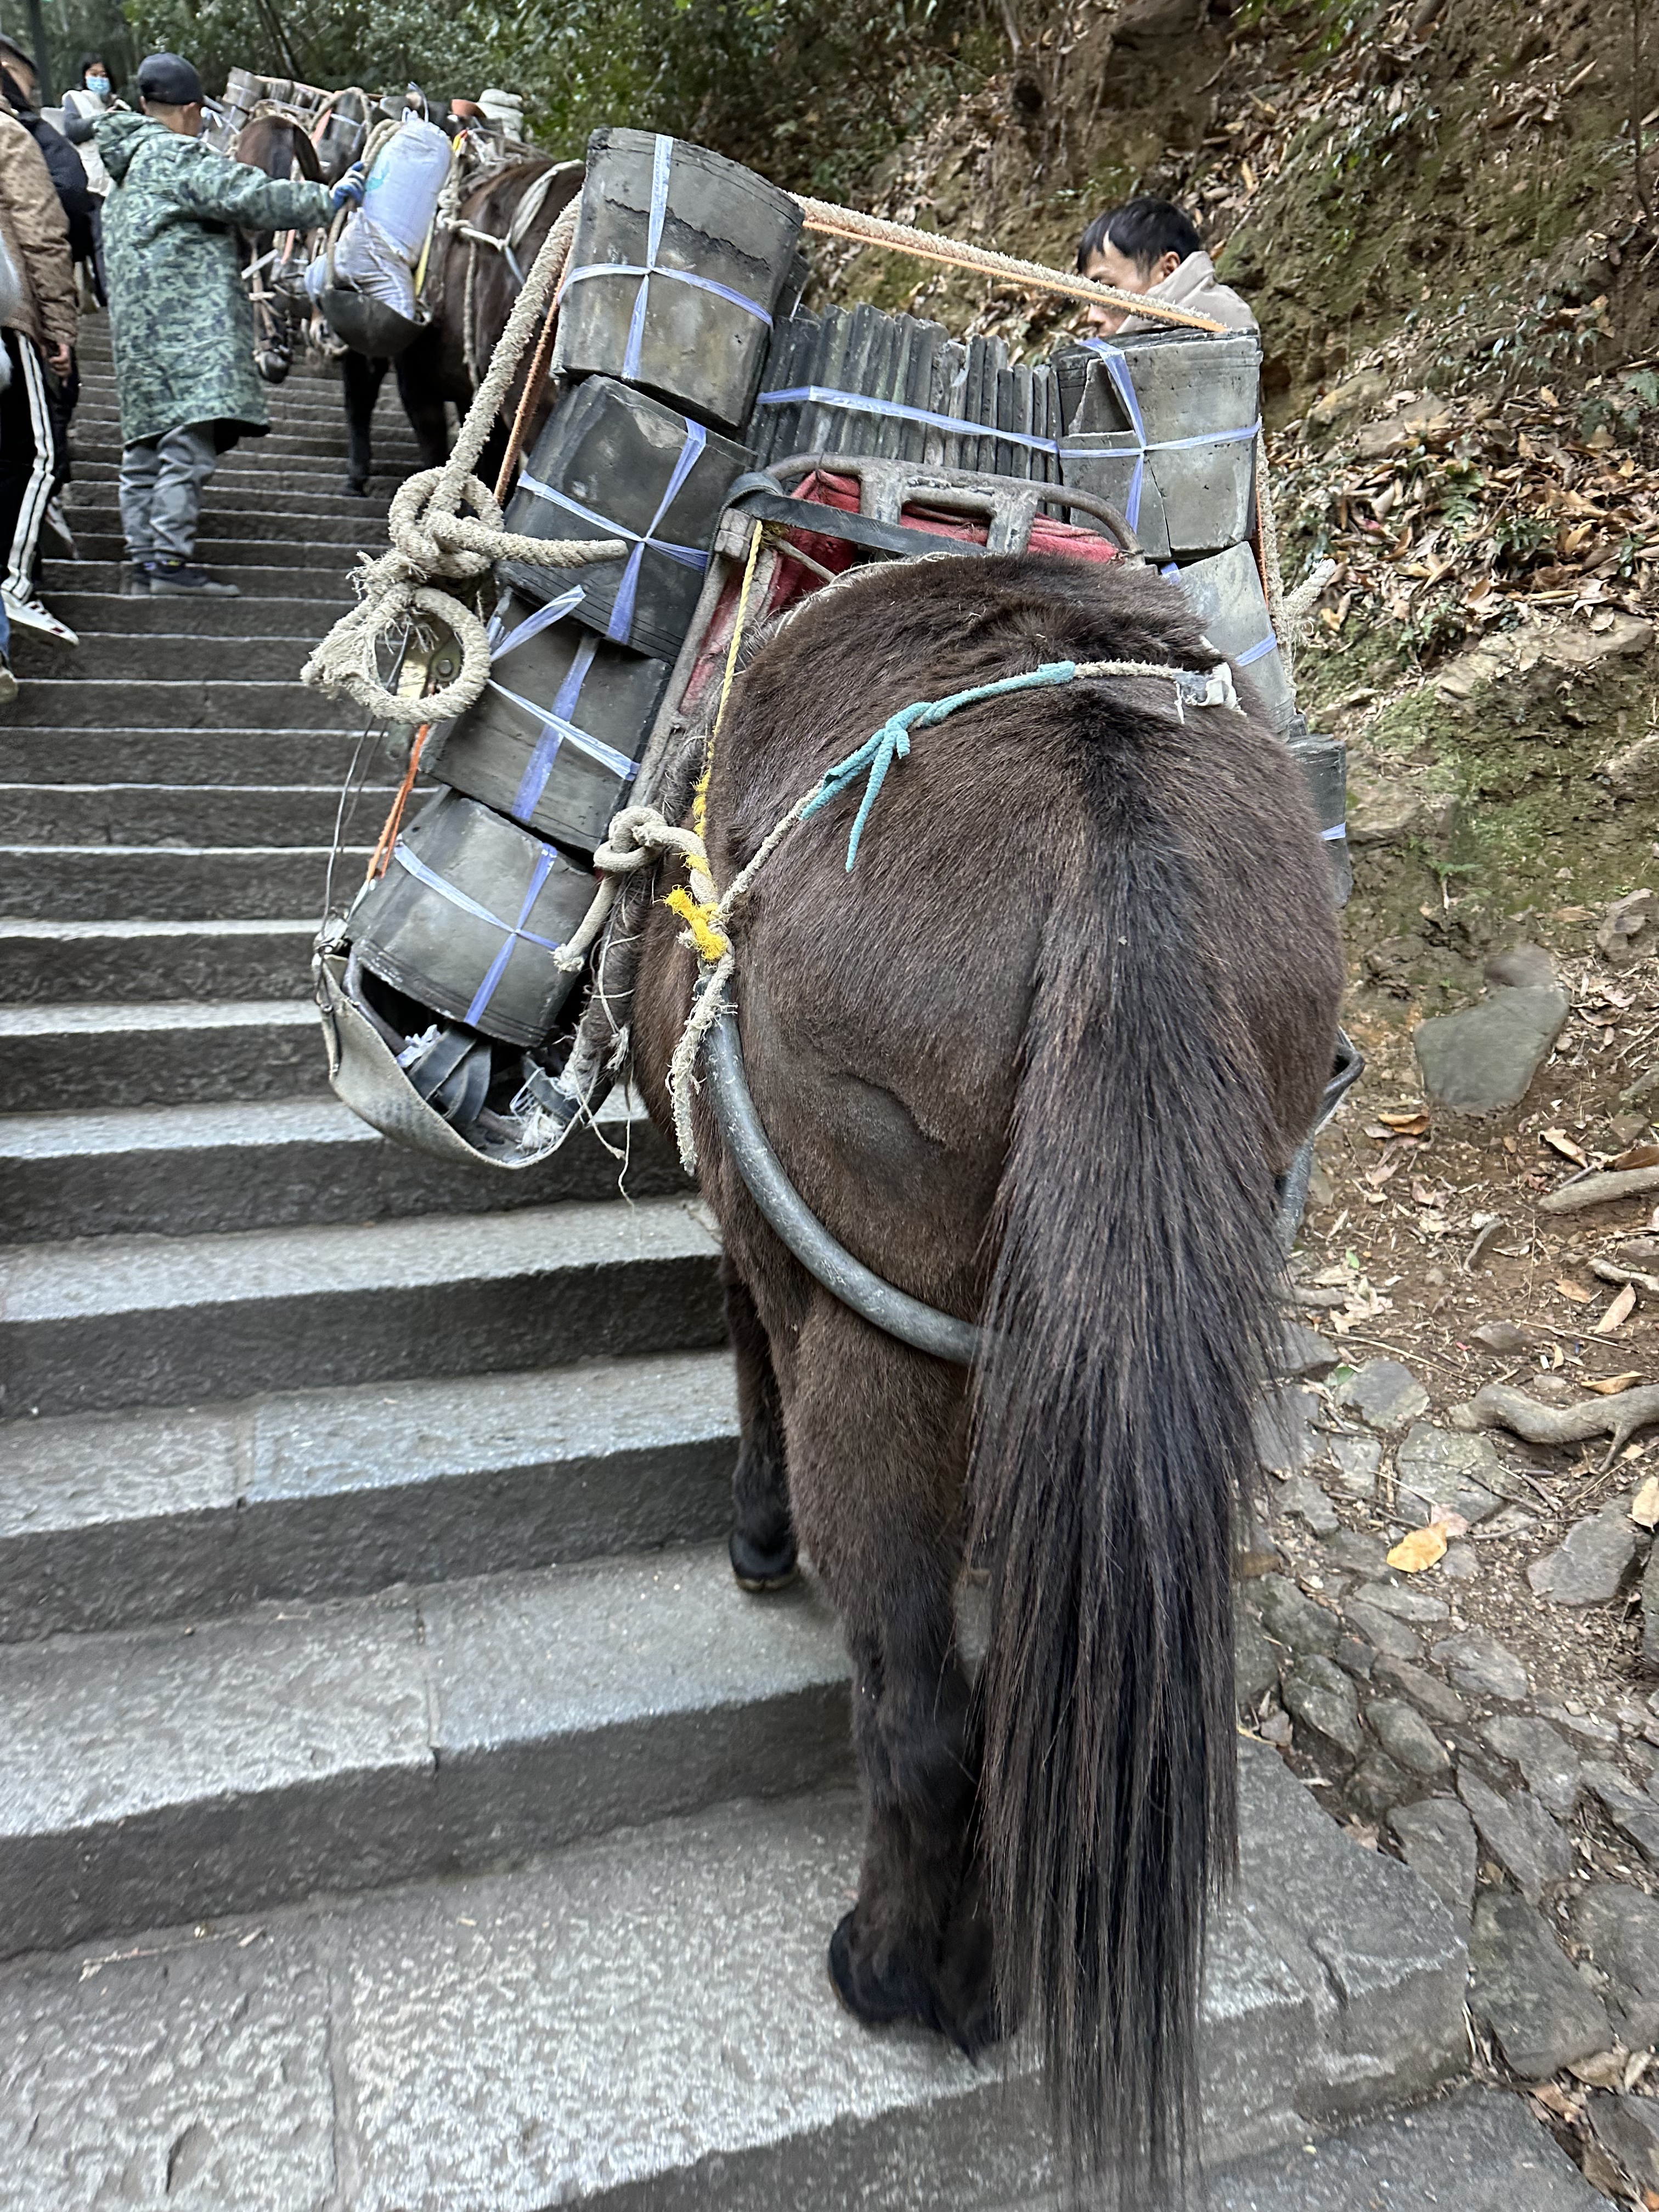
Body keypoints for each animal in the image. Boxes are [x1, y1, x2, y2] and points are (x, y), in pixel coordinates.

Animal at [628, 553, 1353, 2194]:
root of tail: (1107, 824)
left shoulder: (762, 1239)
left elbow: (744, 1347)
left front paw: (755, 1533)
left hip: (882, 1338)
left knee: (924, 1706)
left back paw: (911, 1974)